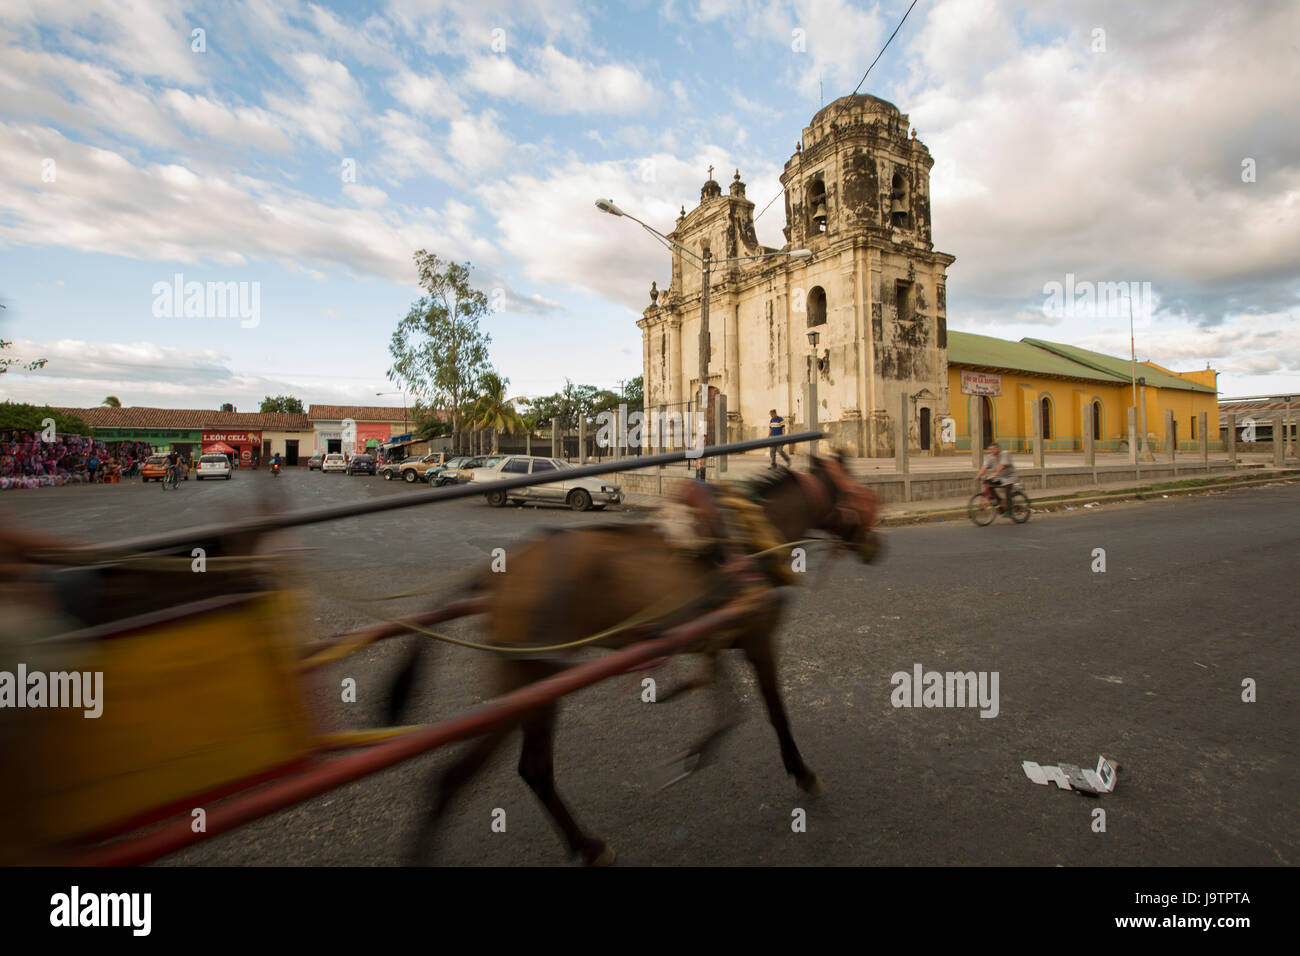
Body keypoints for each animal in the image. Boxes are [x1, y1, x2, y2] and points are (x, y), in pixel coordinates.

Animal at [395, 455, 883, 868]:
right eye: (862, 496)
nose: (878, 548)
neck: (752, 537)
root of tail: (497, 577)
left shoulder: (714, 640)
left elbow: (729, 708)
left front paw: (697, 750)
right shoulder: (758, 637)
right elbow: (775, 712)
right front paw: (803, 773)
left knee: (510, 771)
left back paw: (585, 845)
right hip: (528, 678)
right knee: (474, 775)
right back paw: (586, 844)